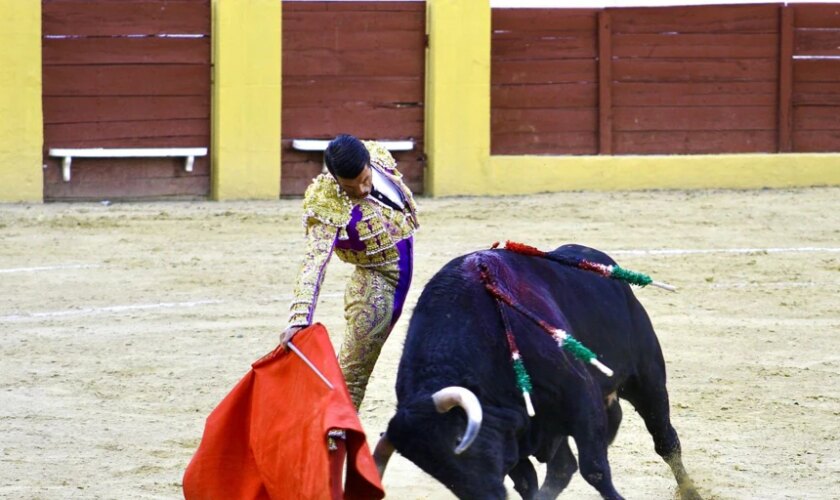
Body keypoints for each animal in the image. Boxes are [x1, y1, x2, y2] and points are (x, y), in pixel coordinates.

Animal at [376, 244, 704, 498]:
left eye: (459, 439)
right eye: (435, 470)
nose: (488, 497)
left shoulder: (580, 396)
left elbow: (595, 470)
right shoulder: (515, 430)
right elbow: (528, 481)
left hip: (646, 378)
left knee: (665, 440)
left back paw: (691, 492)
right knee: (562, 468)